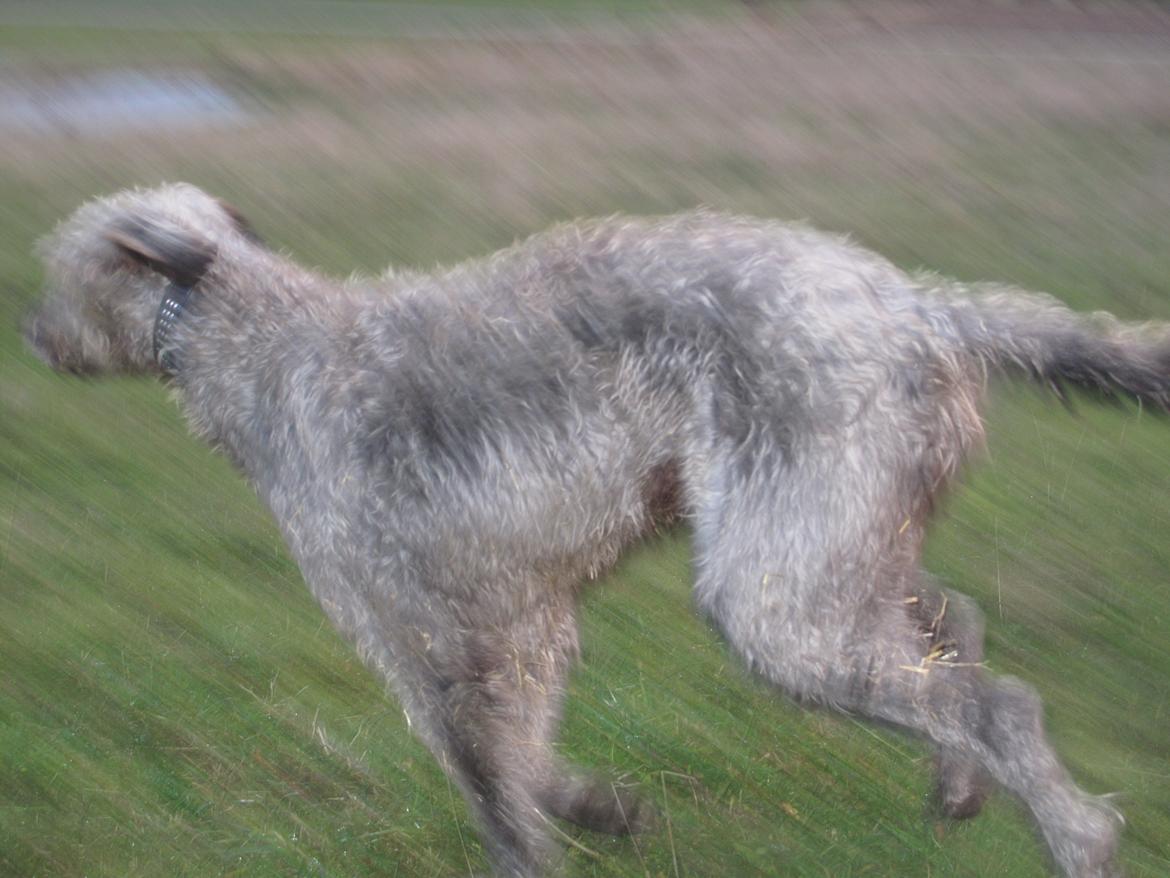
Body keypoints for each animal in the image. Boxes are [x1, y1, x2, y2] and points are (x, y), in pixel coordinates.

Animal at [22, 182, 1165, 875]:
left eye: (55, 269)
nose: (30, 331)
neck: (259, 341)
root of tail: (920, 306)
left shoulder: (420, 626)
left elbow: (489, 768)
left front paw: (546, 840)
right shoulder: (518, 618)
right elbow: (515, 753)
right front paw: (596, 811)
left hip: (781, 591)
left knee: (993, 701)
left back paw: (1076, 835)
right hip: (838, 543)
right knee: (958, 629)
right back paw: (962, 786)